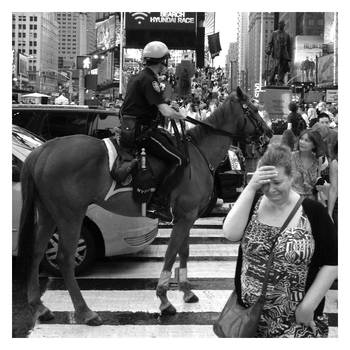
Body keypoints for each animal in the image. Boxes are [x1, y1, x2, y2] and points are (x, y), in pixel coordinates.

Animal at [17, 87, 274, 326]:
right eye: (252, 109)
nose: (270, 132)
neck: (199, 154)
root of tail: (43, 150)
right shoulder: (185, 216)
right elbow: (171, 253)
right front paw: (164, 299)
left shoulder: (187, 216)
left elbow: (184, 251)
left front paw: (186, 290)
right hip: (71, 215)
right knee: (64, 258)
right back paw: (84, 311)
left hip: (48, 213)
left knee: (37, 252)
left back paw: (39, 307)